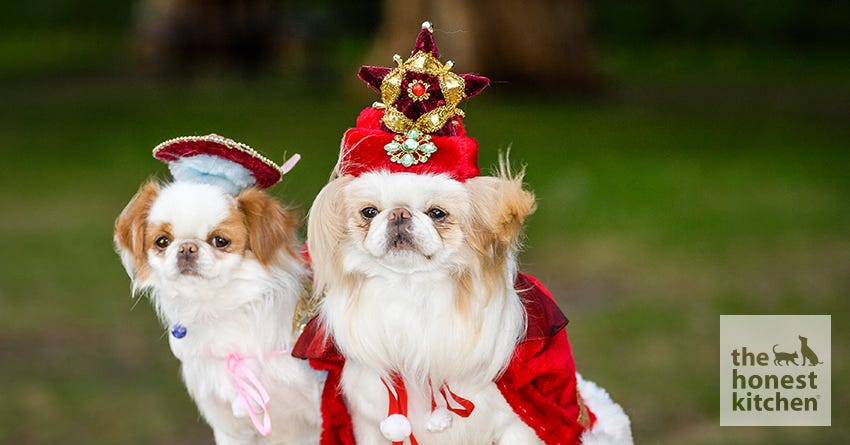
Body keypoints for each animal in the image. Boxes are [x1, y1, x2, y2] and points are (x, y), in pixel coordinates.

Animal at [292, 23, 628, 444]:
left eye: (437, 213)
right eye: (369, 213)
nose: (399, 214)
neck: (412, 290)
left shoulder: (516, 422)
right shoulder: (369, 422)